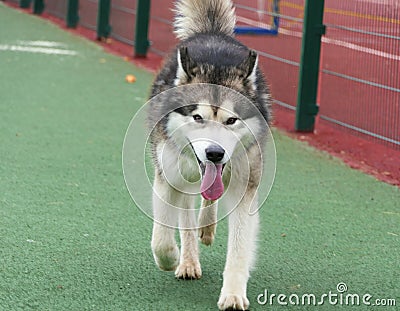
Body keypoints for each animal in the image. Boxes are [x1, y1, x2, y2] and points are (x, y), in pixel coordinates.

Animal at [147, 0, 272, 310]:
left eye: (231, 121)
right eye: (197, 117)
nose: (215, 153)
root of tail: (212, 32)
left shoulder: (245, 187)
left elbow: (239, 248)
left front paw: (234, 294)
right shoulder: (167, 176)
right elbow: (162, 237)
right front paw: (170, 258)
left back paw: (206, 227)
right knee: (188, 216)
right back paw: (188, 261)